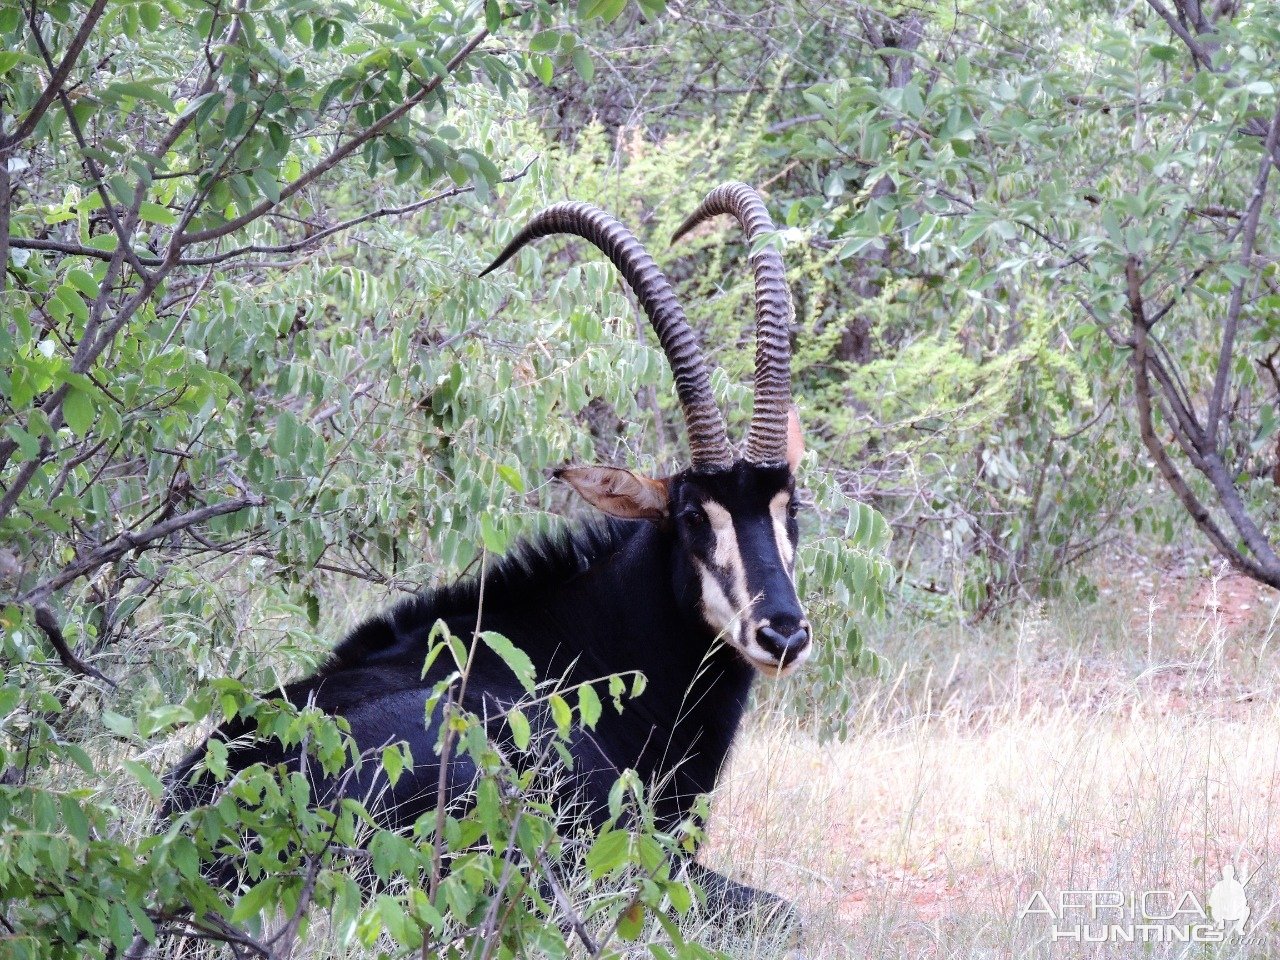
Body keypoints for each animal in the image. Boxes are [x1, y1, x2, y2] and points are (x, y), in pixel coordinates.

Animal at [165, 181, 814, 926]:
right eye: (691, 515)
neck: (589, 644)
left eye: (790, 506)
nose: (783, 633)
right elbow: (784, 910)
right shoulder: (643, 844)